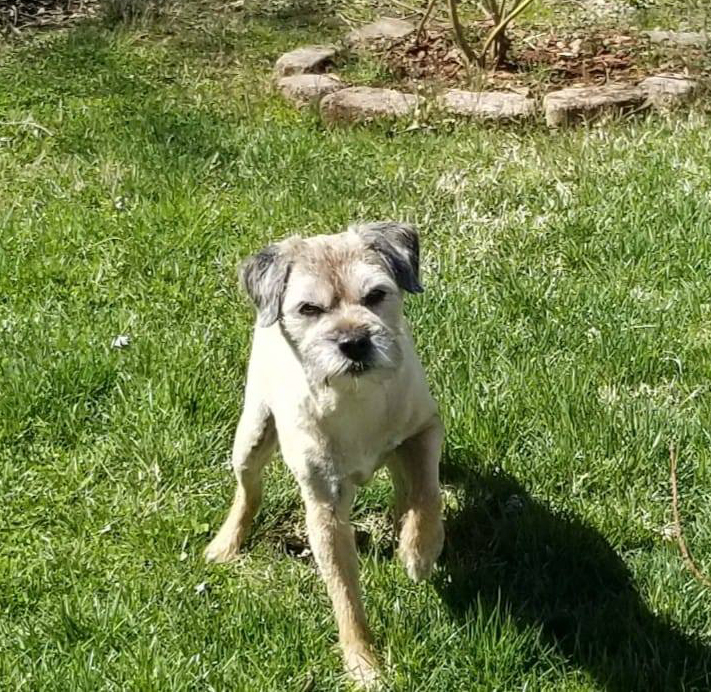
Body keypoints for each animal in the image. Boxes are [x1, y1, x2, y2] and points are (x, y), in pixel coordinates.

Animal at [205, 222, 444, 687]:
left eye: (375, 295)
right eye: (309, 309)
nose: (354, 341)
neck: (355, 400)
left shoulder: (424, 430)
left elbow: (429, 491)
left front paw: (420, 551)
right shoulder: (325, 508)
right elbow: (344, 593)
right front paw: (363, 664)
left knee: (405, 483)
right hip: (252, 434)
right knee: (248, 492)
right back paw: (225, 544)